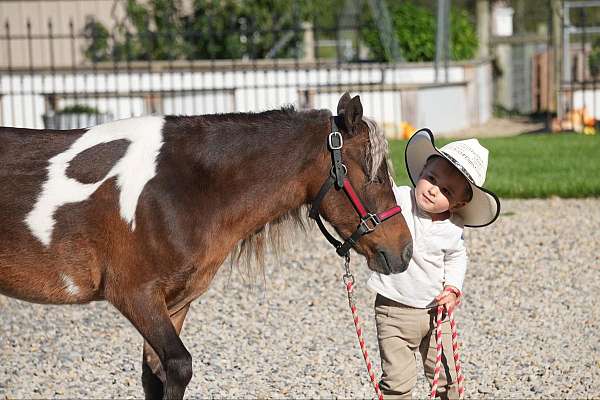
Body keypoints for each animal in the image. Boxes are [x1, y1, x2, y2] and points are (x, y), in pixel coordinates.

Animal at [0, 92, 412, 398]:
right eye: (374, 175)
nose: (404, 249)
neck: (178, 187)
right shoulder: (134, 294)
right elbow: (179, 366)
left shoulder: (174, 302)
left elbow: (158, 373)